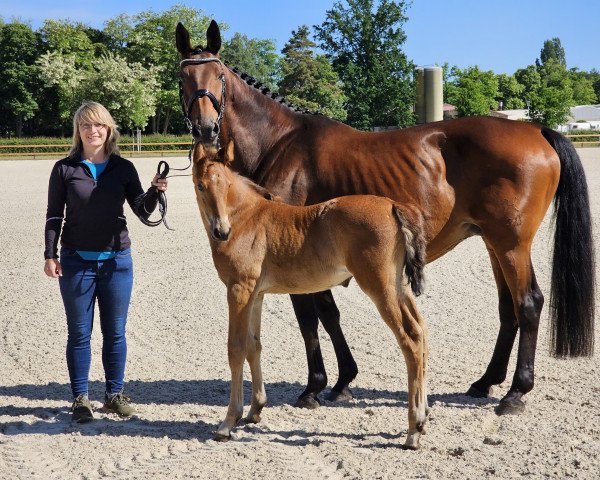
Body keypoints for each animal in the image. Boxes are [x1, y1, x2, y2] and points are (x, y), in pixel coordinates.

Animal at [195, 141, 428, 448]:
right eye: (200, 185)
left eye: (227, 185)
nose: (221, 231)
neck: (246, 219)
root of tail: (392, 205)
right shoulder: (256, 295)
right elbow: (254, 346)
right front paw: (255, 410)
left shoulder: (238, 290)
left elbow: (236, 348)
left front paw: (228, 422)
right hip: (399, 287)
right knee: (421, 331)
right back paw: (423, 417)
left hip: (381, 288)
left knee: (410, 340)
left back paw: (413, 430)